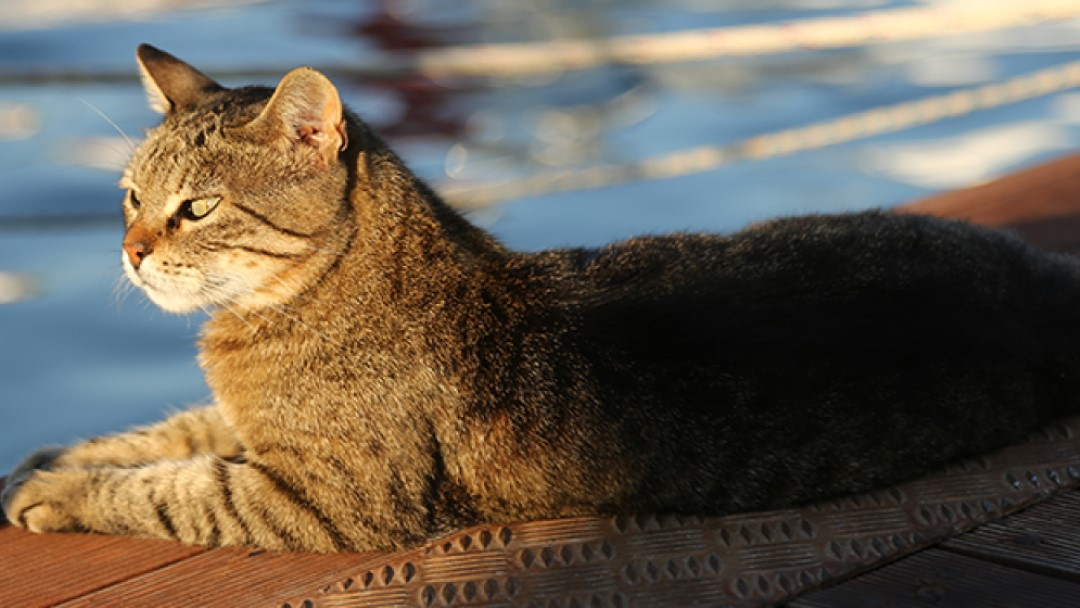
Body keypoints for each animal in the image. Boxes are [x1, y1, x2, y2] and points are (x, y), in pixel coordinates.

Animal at [2, 45, 1080, 552]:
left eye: (197, 208)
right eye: (129, 198)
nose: (131, 250)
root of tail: (1043, 276)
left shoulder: (325, 498)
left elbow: (174, 486)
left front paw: (60, 492)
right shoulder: (237, 423)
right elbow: (162, 434)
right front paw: (48, 459)